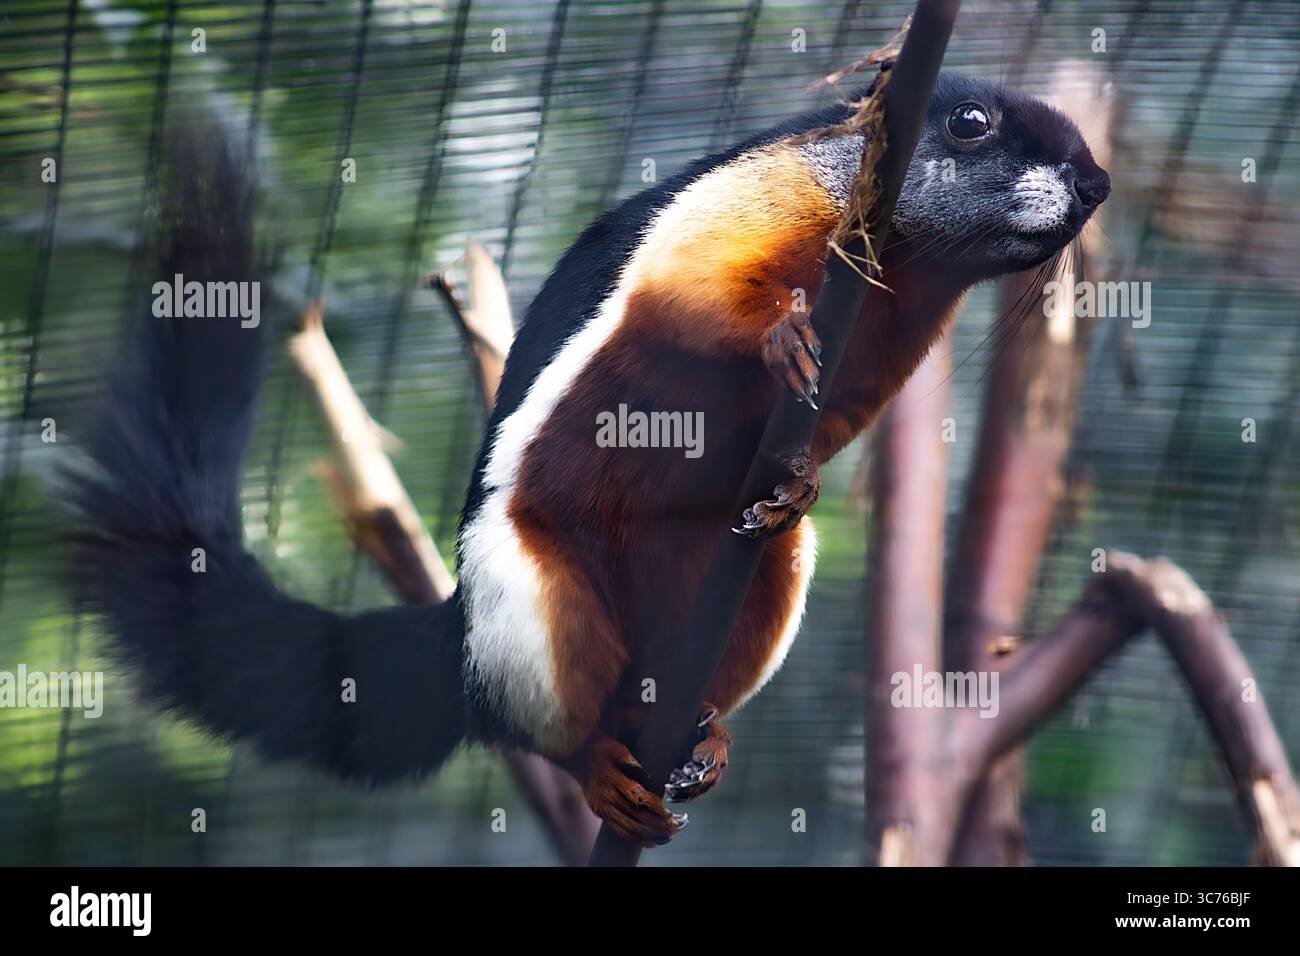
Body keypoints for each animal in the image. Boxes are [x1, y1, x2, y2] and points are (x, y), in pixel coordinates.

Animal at [67, 68, 1108, 849]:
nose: (1096, 185)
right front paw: (778, 338)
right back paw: (597, 767)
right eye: (971, 124)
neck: (910, 258)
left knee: (757, 583)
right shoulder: (790, 189)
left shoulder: (904, 332)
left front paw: (802, 474)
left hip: (751, 590)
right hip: (524, 601)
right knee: (542, 709)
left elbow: (836, 421)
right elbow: (690, 285)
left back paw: (705, 736)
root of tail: (455, 638)